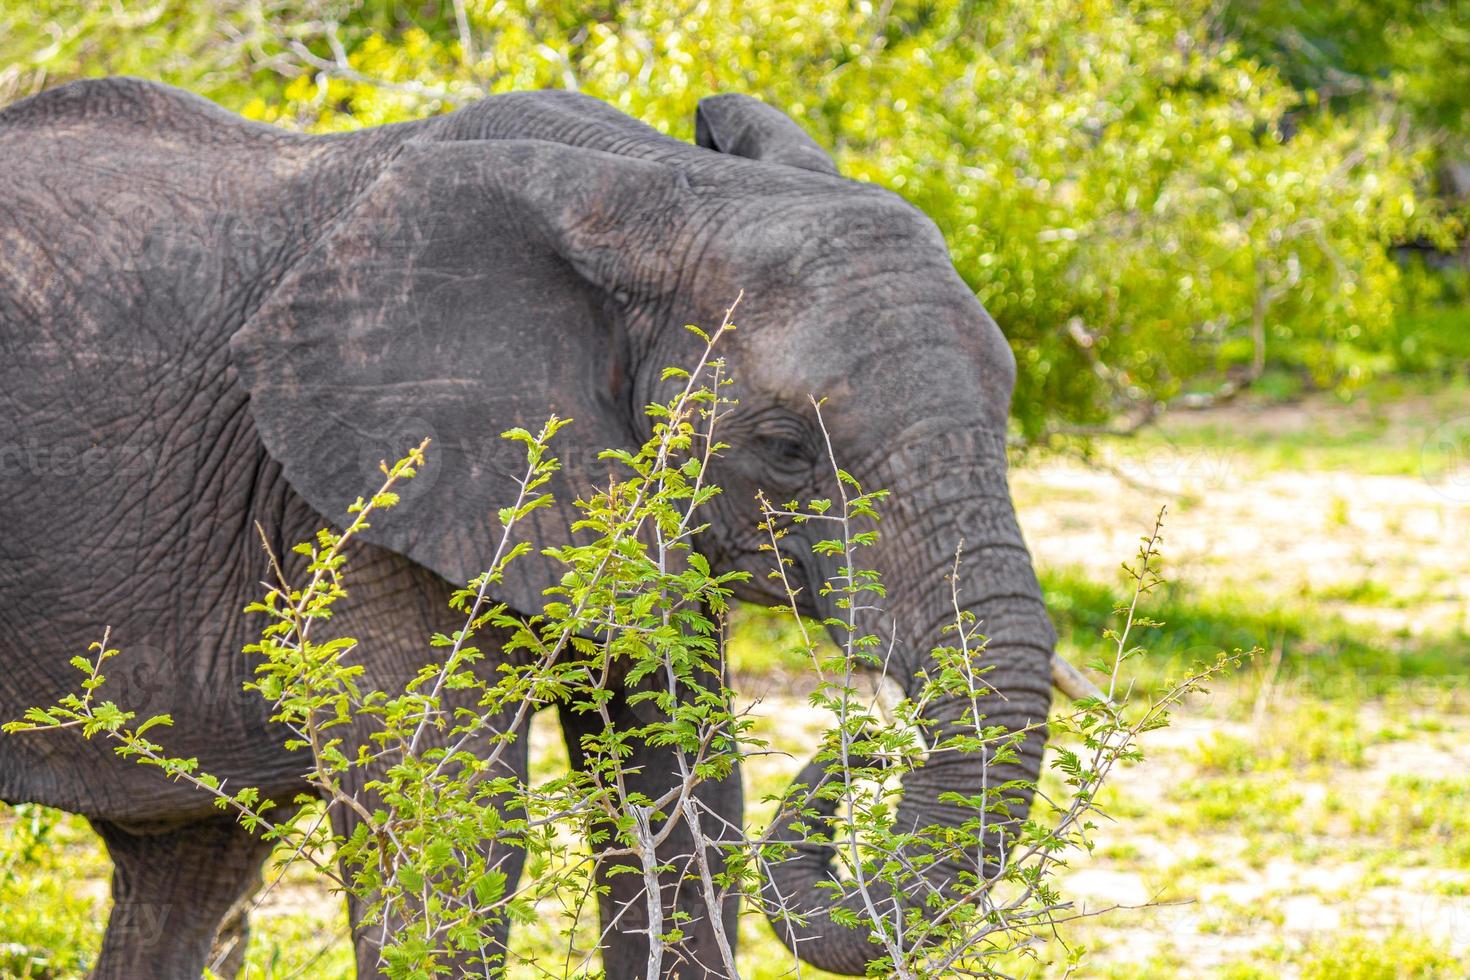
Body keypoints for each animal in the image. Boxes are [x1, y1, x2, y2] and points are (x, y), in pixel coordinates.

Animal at [0, 80, 1081, 975]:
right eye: (785, 448)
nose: (866, 747)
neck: (655, 187)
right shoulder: (359, 491)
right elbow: (450, 818)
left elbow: (684, 800)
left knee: (192, 864)